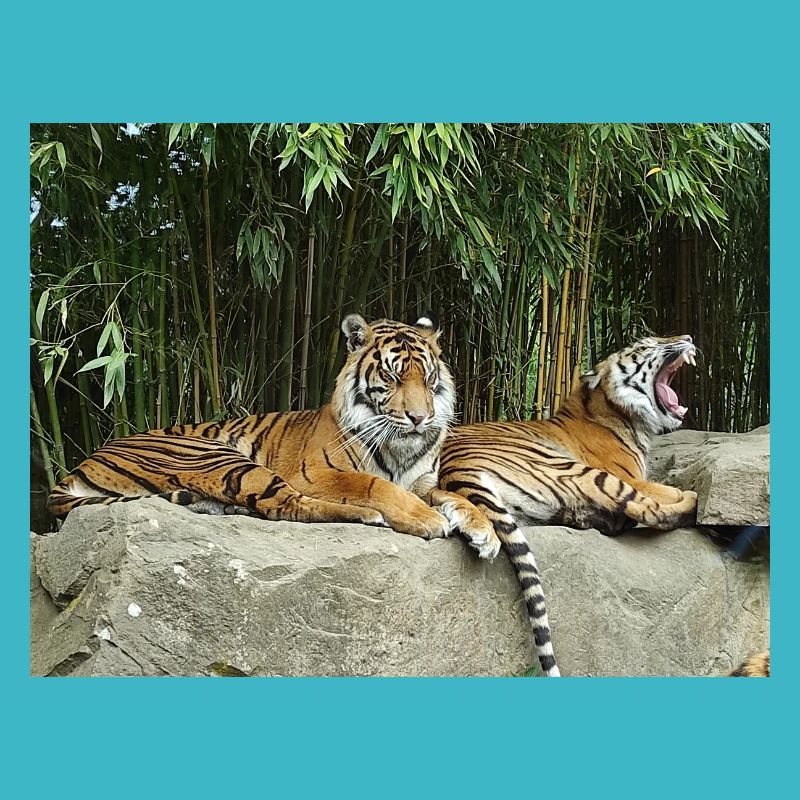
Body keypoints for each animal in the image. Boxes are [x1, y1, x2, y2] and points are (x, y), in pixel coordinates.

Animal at [48, 314, 495, 550]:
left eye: (428, 377)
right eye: (391, 376)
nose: (420, 418)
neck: (401, 446)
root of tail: (82, 464)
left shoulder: (422, 481)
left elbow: (453, 494)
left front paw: (483, 531)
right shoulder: (315, 473)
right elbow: (374, 484)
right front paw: (425, 519)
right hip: (214, 455)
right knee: (288, 505)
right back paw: (368, 516)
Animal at [440, 335, 700, 677]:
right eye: (646, 345)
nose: (688, 338)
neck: (618, 414)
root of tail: (456, 467)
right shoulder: (631, 477)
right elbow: (664, 490)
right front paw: (685, 491)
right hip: (578, 471)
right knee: (651, 511)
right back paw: (693, 501)